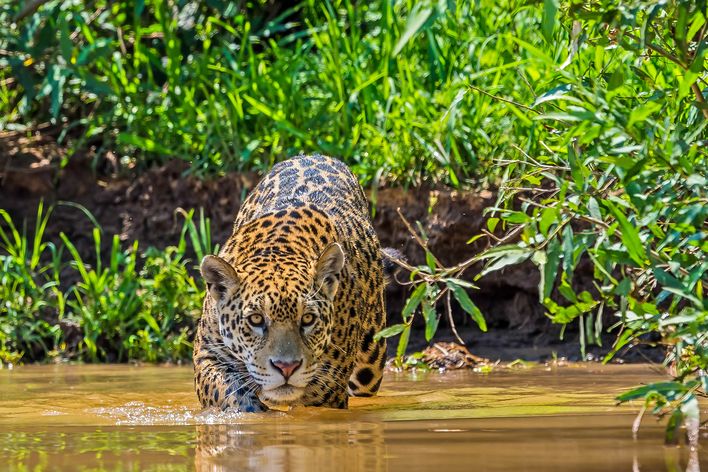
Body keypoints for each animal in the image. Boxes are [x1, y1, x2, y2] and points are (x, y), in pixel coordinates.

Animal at [193, 154, 387, 412]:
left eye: (308, 319)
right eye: (256, 320)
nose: (286, 367)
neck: (278, 248)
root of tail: (314, 155)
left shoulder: (327, 387)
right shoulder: (207, 354)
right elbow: (227, 389)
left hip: (370, 363)